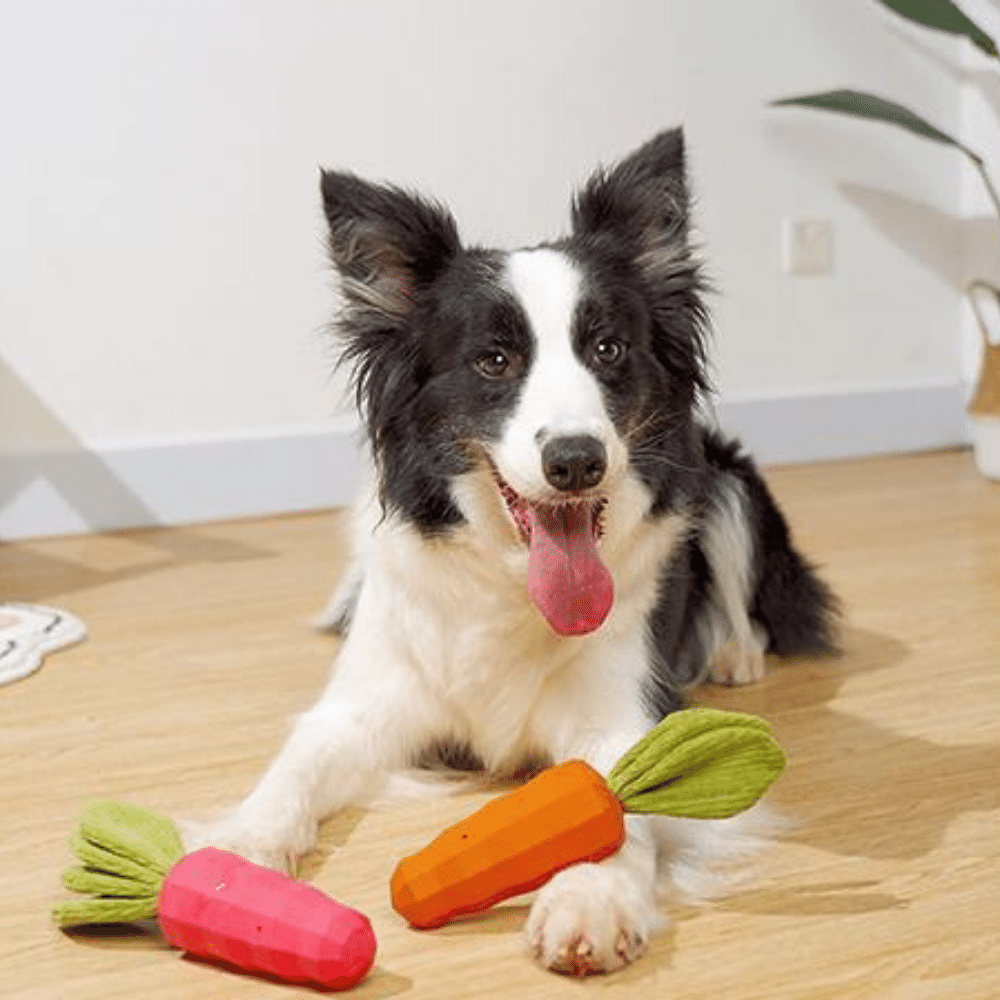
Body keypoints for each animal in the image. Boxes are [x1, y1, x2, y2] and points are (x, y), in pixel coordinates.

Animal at [193, 129, 836, 972]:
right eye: (494, 361)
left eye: (609, 348)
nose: (576, 461)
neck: (507, 583)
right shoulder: (364, 705)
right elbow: (291, 770)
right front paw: (233, 852)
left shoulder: (622, 713)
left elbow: (618, 801)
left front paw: (590, 901)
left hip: (726, 483)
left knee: (742, 602)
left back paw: (733, 656)